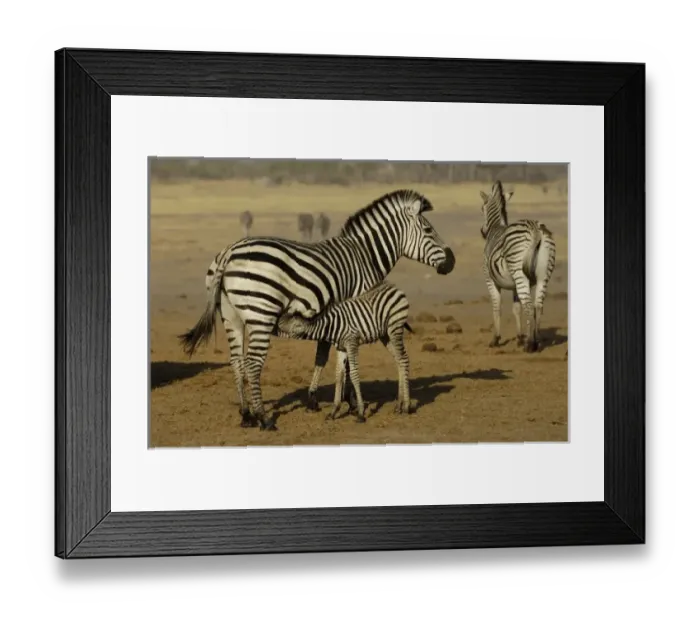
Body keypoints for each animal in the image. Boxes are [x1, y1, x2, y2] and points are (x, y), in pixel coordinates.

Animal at [276, 281, 413, 423]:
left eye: (284, 322)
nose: (277, 318)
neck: (332, 327)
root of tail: (395, 288)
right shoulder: (341, 347)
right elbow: (339, 374)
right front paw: (334, 411)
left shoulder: (351, 343)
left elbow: (353, 373)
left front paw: (360, 413)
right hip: (385, 335)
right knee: (399, 360)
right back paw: (399, 405)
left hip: (395, 328)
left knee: (403, 359)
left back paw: (406, 407)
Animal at [480, 180, 556, 353]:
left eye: (482, 208)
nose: (482, 232)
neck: (495, 227)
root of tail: (535, 229)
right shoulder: (514, 284)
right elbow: (516, 308)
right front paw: (519, 338)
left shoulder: (489, 279)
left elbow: (497, 306)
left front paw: (496, 339)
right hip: (543, 274)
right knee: (538, 305)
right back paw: (537, 341)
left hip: (520, 272)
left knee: (529, 305)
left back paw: (530, 344)